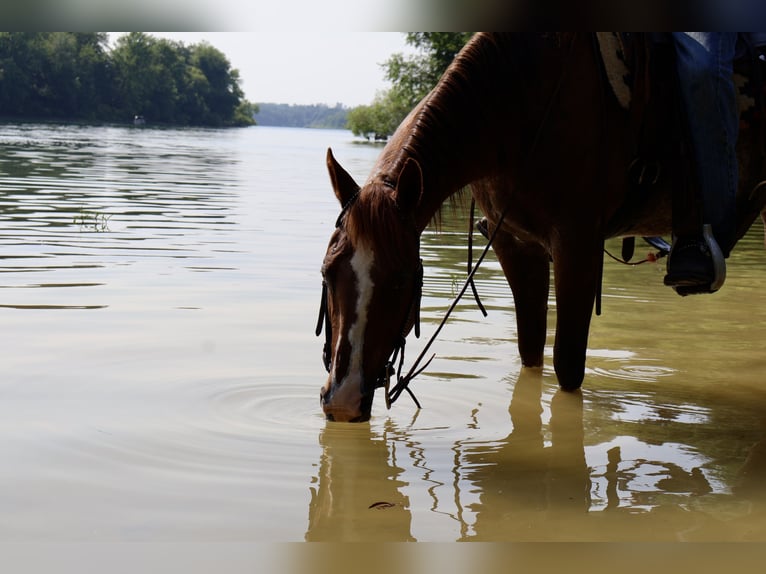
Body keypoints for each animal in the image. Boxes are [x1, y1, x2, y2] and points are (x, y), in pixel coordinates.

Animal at [318, 33, 766, 422]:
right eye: (327, 273)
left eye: (401, 280)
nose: (342, 401)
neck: (522, 104)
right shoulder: (515, 245)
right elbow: (530, 350)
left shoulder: (577, 244)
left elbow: (567, 365)